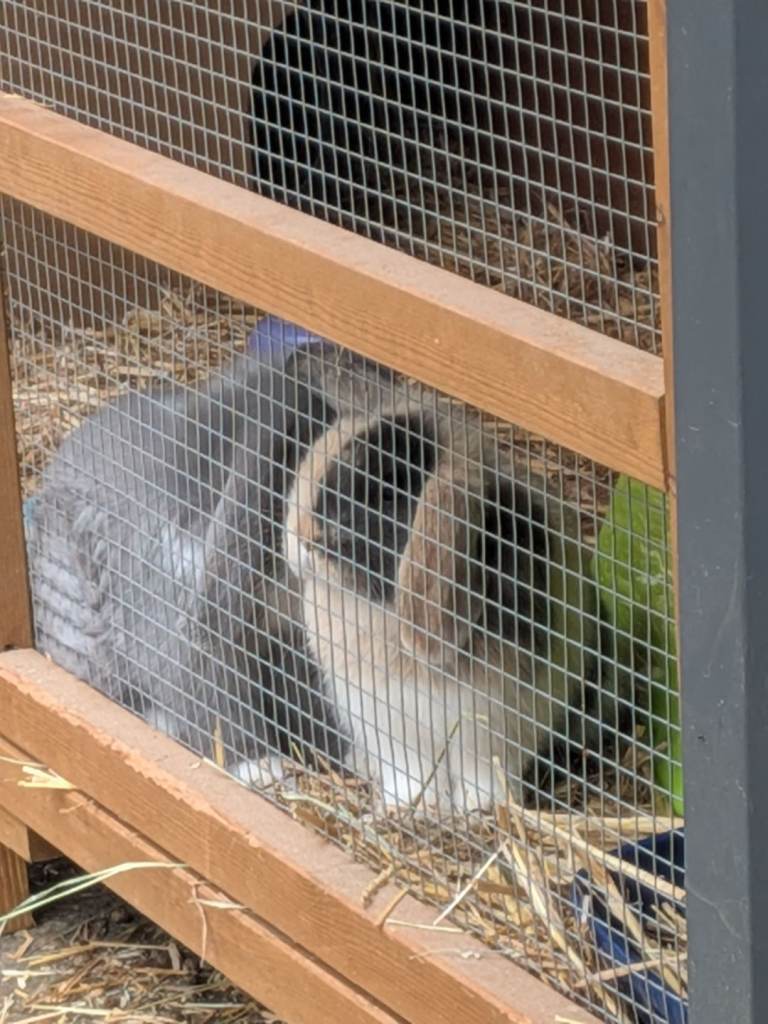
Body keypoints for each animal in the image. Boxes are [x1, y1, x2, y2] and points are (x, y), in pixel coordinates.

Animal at [283, 400, 610, 812]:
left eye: (387, 493)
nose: (299, 538)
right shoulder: (389, 727)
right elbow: (410, 776)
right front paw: (410, 807)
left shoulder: (487, 727)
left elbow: (481, 778)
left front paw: (476, 811)